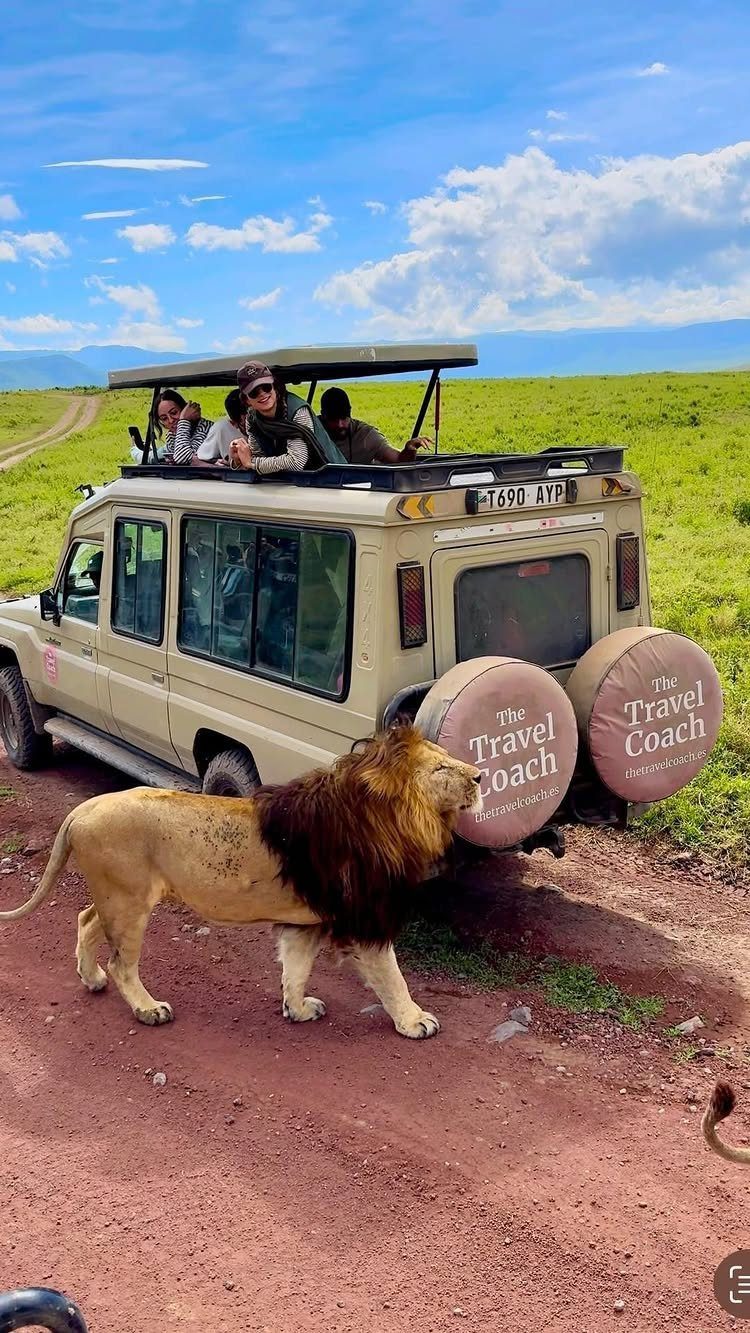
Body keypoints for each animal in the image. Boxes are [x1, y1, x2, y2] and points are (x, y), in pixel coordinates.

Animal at [0, 725, 481, 1040]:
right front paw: (414, 1021)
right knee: (122, 962)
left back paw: (92, 978)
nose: (479, 775)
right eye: (441, 769)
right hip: (128, 901)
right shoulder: (363, 916)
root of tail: (82, 809)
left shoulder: (309, 920)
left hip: (119, 898)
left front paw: (297, 1010)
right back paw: (148, 1009)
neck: (386, 817)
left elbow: (296, 968)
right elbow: (392, 976)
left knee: (84, 921)